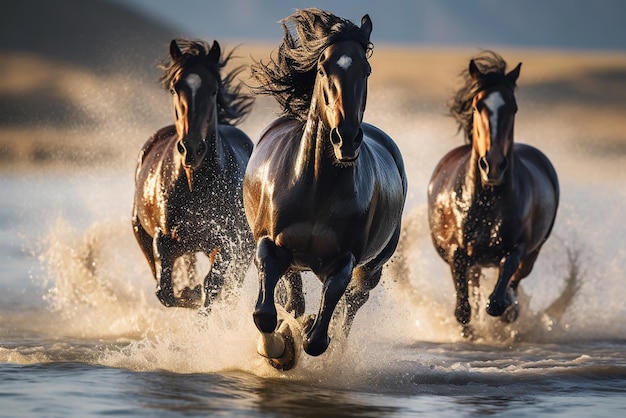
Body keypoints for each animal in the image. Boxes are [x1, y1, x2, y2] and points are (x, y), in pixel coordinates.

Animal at [132, 38, 256, 306]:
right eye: (174, 89)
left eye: (213, 90)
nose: (191, 148)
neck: (194, 185)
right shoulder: (163, 239)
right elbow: (166, 293)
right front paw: (189, 293)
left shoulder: (225, 244)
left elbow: (211, 288)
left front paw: (197, 294)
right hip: (141, 233)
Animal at [241, 9, 408, 370]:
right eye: (322, 68)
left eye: (366, 69)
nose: (346, 138)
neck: (316, 187)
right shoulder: (271, 244)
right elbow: (265, 313)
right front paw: (279, 349)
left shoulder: (344, 260)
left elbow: (320, 333)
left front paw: (303, 336)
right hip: (295, 262)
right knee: (293, 295)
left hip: (371, 268)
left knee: (350, 305)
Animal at [426, 51, 560, 340]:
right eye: (478, 106)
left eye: (513, 108)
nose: (494, 165)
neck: (485, 202)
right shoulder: (458, 252)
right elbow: (463, 309)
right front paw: (469, 332)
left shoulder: (517, 248)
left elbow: (498, 300)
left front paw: (506, 309)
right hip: (476, 263)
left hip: (532, 253)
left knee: (512, 283)